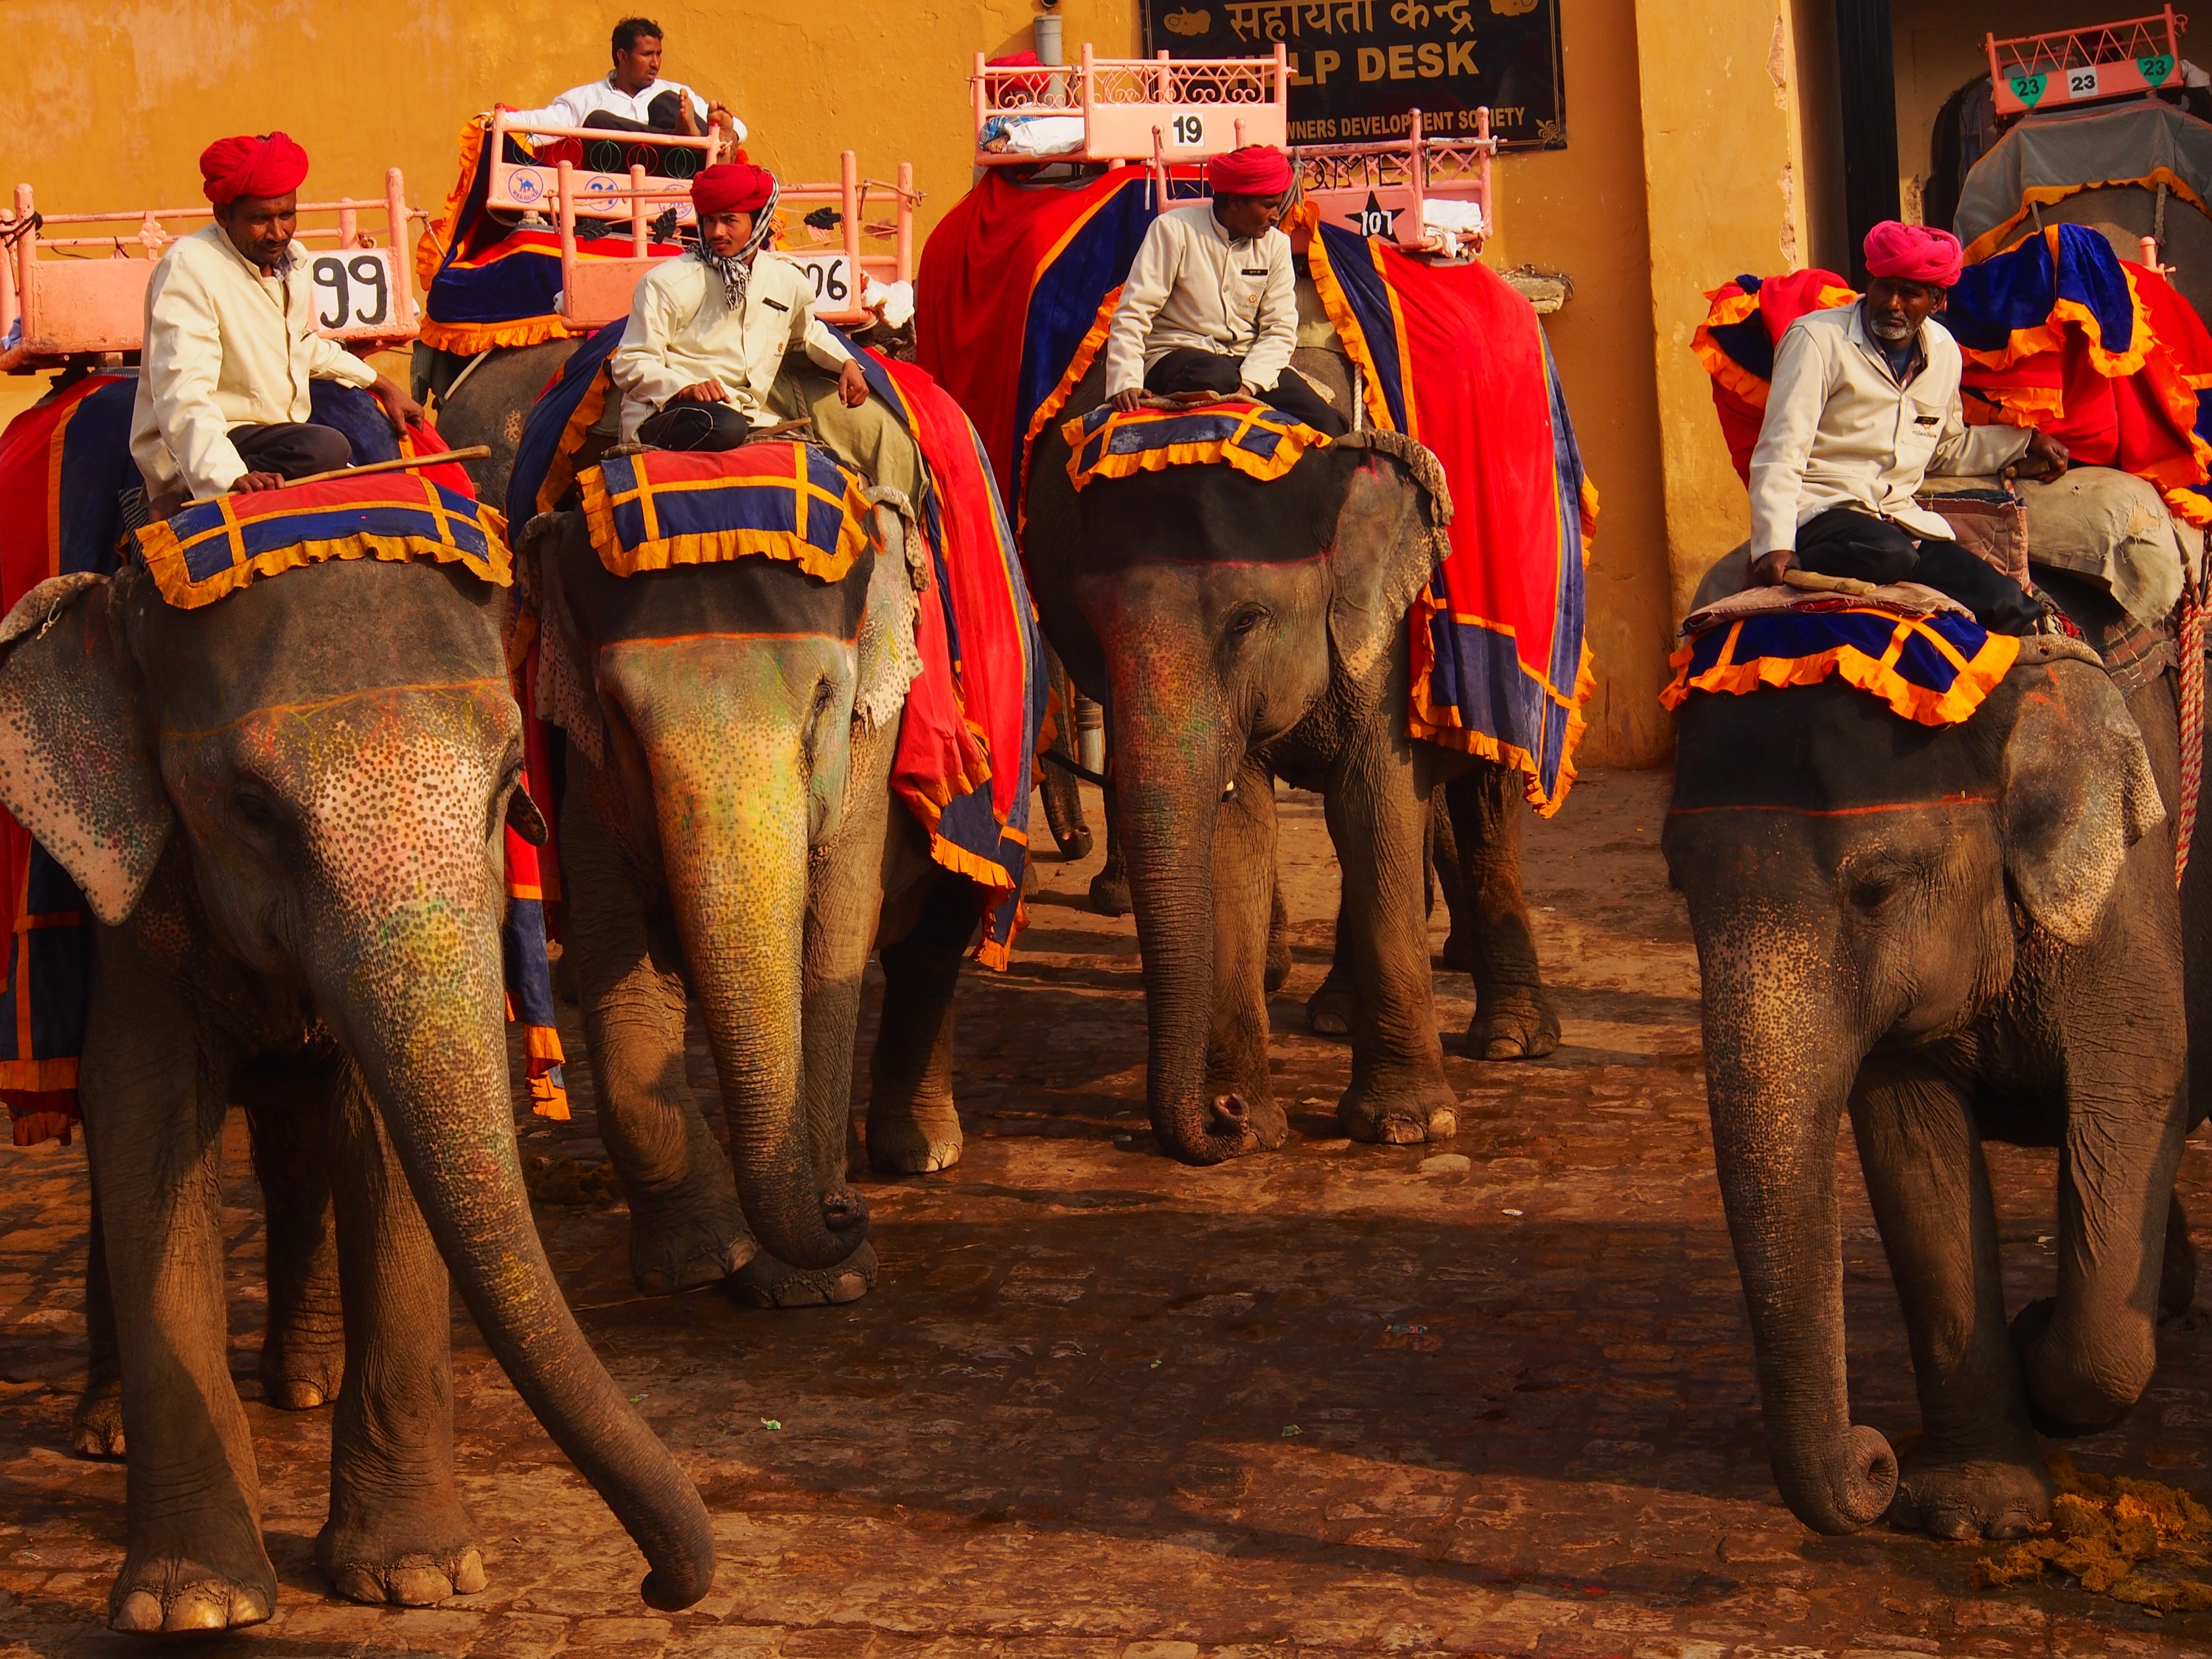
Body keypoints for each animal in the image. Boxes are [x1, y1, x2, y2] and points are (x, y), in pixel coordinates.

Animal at [0, 549, 708, 1637]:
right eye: (251, 806)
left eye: (511, 783)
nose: (659, 1586)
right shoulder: (131, 899)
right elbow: (145, 1124)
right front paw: (195, 1607)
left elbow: (379, 1138)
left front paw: (418, 1579)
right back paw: (106, 1431)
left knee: (293, 1146)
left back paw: (301, 1381)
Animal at [522, 445, 982, 1310]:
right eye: (620, 715)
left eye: (825, 702)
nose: (844, 1207)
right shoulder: (585, 771)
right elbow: (617, 959)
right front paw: (700, 1264)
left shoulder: (872, 753)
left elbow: (828, 950)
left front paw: (819, 1287)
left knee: (936, 941)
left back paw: (923, 1155)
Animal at [1018, 361, 1557, 1168]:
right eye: (1091, 629)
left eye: (1247, 621)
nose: (1223, 1117)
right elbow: (1240, 829)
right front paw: (1253, 1127)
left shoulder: (1386, 632)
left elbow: (1375, 801)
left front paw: (1407, 1126)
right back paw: (1337, 1013)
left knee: (1484, 810)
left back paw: (1511, 1041)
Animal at [1663, 606, 2203, 1557]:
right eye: (1677, 885)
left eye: (1877, 891)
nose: (1873, 1458)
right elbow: (1914, 1155)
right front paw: (1970, 1517)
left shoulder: (2128, 899)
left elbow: (2130, 1104)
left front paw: (2037, 1336)